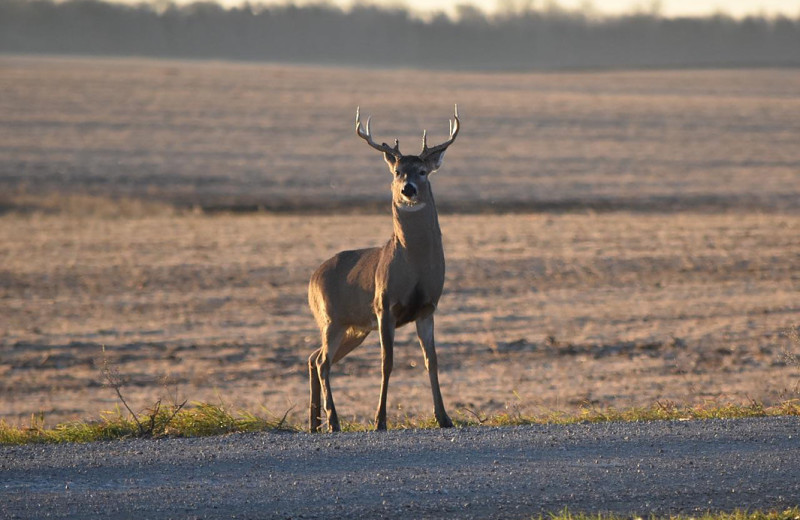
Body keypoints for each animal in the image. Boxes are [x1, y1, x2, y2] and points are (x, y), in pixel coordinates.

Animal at [306, 104, 460, 430]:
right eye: (397, 172)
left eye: (423, 171)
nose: (408, 189)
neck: (414, 268)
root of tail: (312, 278)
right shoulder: (383, 305)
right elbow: (386, 362)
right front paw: (380, 420)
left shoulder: (427, 308)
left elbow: (432, 360)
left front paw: (444, 417)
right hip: (330, 318)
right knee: (323, 362)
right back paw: (333, 420)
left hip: (352, 327)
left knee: (314, 357)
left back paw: (314, 423)